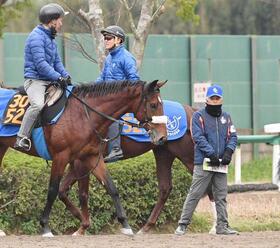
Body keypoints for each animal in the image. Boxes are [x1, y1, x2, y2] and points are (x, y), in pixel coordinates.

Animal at [0, 80, 167, 237]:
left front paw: (125, 225)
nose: (163, 137)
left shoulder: (90, 157)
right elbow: (54, 190)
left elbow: (111, 188)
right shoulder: (62, 157)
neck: (83, 115)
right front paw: (46, 226)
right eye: (153, 105)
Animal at [58, 103, 217, 235]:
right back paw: (146, 227)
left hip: (188, 155)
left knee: (208, 185)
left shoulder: (83, 161)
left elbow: (82, 193)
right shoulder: (78, 162)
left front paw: (83, 226)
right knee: (165, 188)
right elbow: (62, 190)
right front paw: (80, 218)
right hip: (163, 152)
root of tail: (192, 111)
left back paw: (215, 227)